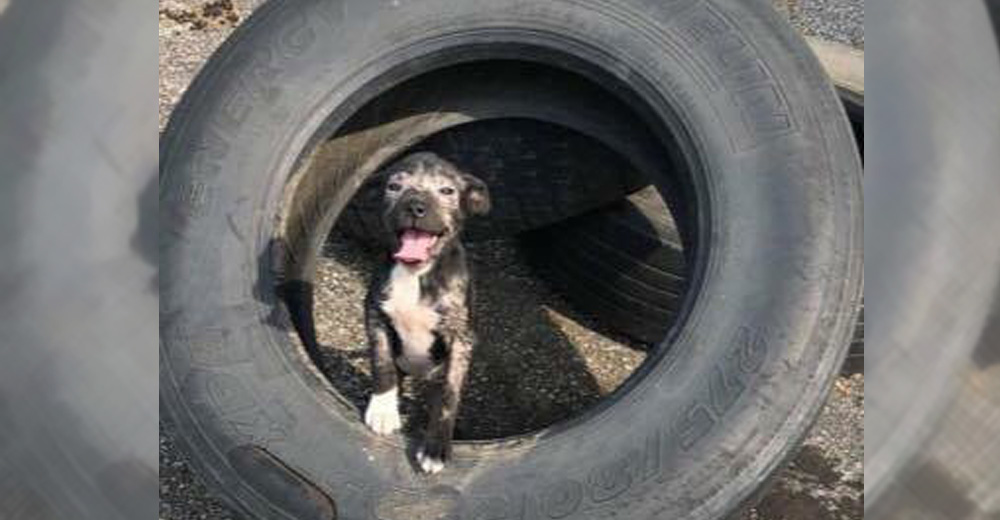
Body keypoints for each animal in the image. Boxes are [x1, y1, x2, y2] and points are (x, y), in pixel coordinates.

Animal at [368, 151, 492, 476]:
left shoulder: (461, 338)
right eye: (394, 186)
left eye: (447, 191)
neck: (416, 272)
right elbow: (382, 362)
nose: (415, 206)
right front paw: (383, 408)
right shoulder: (375, 315)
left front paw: (436, 448)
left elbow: (449, 395)